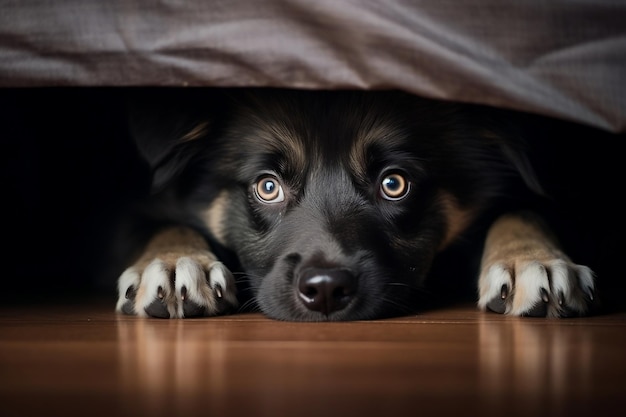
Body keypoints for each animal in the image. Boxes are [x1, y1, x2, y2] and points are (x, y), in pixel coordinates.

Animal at [113, 88, 596, 320]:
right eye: (267, 187)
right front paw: (174, 262)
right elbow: (161, 224)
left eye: (394, 183)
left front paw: (533, 259)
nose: (326, 290)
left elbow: (521, 208)